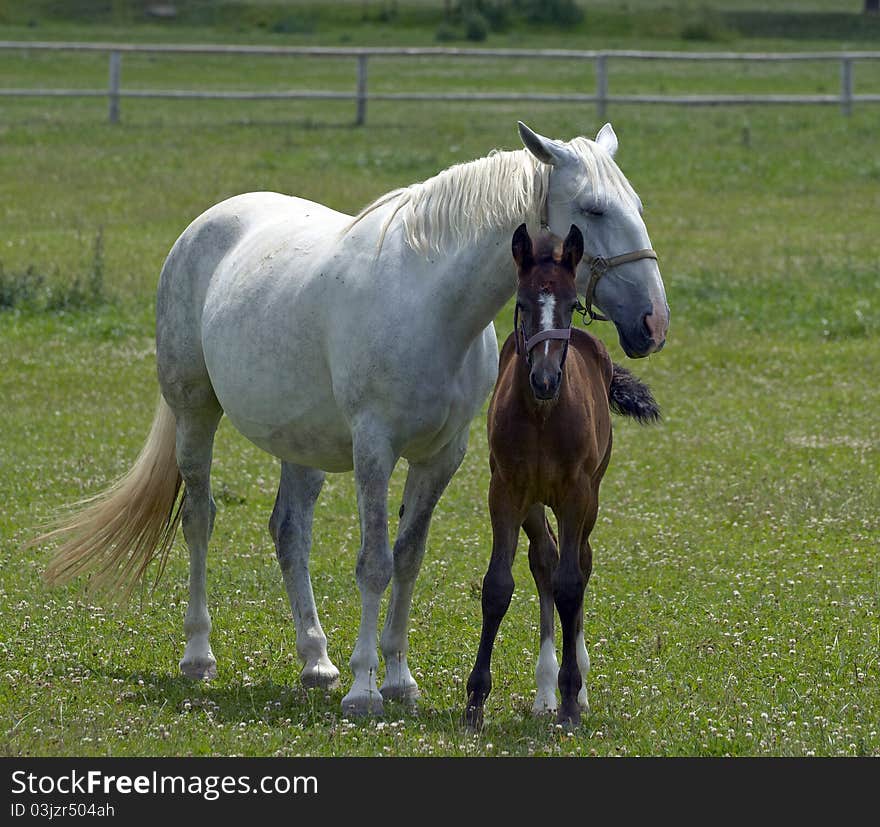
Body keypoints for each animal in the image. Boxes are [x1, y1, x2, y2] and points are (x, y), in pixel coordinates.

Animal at [464, 223, 656, 728]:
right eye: (522, 302)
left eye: (570, 305)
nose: (546, 378)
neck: (543, 416)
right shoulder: (505, 491)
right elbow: (498, 586)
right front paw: (475, 700)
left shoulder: (577, 493)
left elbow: (573, 584)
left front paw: (572, 697)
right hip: (534, 502)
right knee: (545, 560)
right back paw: (544, 691)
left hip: (591, 496)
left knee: (580, 563)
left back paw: (575, 687)